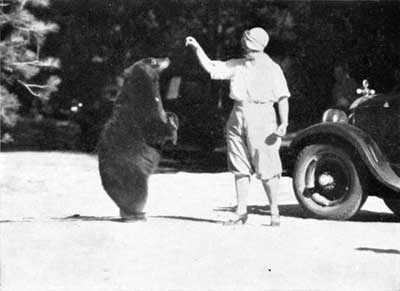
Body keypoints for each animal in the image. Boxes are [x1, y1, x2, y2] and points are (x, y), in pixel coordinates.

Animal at [97, 57, 178, 220]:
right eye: (153, 60)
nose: (167, 58)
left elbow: (167, 114)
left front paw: (173, 118)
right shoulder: (142, 110)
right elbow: (154, 128)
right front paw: (171, 129)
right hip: (131, 172)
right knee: (137, 194)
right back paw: (136, 214)